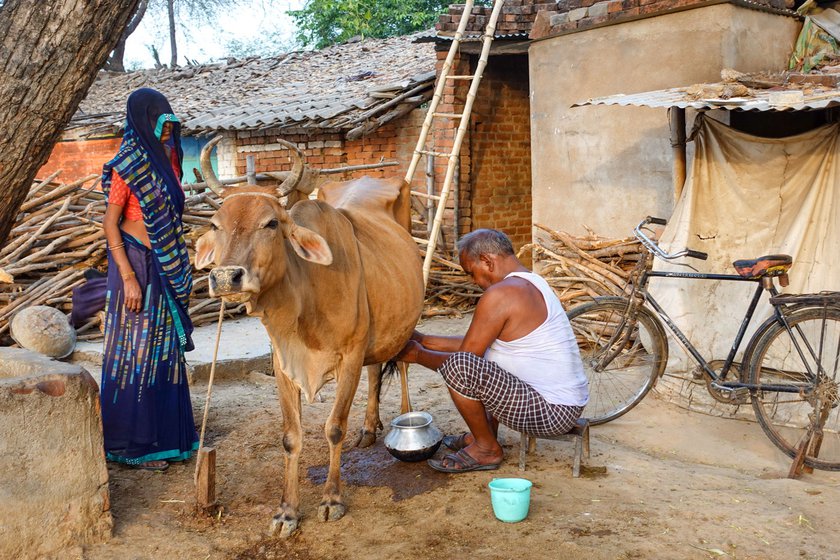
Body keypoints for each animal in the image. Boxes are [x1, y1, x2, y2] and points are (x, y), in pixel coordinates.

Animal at [194, 137, 424, 540]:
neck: (307, 296)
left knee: (403, 364)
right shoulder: (283, 364)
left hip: (406, 322)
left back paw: (403, 417)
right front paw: (287, 512)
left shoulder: (350, 356)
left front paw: (332, 499)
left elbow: (334, 428)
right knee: (377, 369)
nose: (225, 277)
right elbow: (291, 436)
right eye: (215, 224)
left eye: (271, 223)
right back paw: (369, 426)